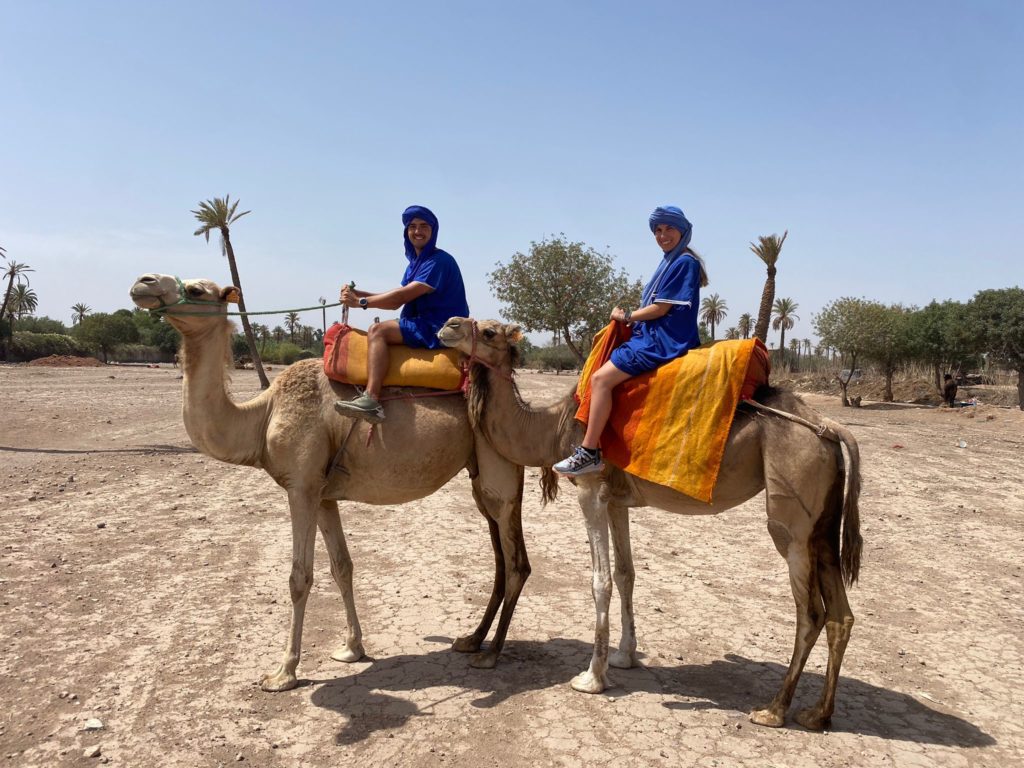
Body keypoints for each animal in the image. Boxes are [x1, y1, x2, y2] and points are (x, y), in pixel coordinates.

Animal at [129, 274, 532, 692]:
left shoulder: (301, 487)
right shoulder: (323, 494)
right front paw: (351, 648)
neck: (263, 415)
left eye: (196, 290)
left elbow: (299, 577)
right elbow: (342, 566)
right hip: (479, 479)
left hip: (499, 467)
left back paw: (490, 654)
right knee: (501, 560)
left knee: (516, 562)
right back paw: (471, 639)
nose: (143, 283)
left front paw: (284, 672)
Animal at [440, 319, 864, 733]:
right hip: (823, 523)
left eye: (489, 331)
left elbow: (601, 581)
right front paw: (625, 656)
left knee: (810, 611)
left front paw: (592, 677)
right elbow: (626, 574)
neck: (552, 425)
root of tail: (829, 427)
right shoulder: (616, 500)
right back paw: (818, 714)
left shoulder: (591, 489)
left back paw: (774, 709)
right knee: (841, 614)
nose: (448, 325)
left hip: (792, 515)